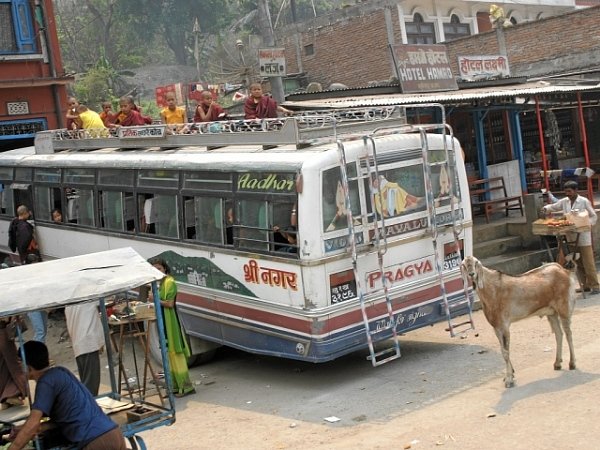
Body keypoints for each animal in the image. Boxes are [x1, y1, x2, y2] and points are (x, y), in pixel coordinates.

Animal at [460, 255, 576, 388]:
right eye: (464, 265)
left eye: (475, 263)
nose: (471, 274)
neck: (491, 290)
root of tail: (564, 271)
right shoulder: (496, 327)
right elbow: (503, 350)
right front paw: (509, 375)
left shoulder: (504, 325)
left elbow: (505, 352)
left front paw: (509, 380)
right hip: (551, 313)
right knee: (559, 334)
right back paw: (557, 363)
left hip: (563, 308)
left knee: (568, 334)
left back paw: (572, 363)